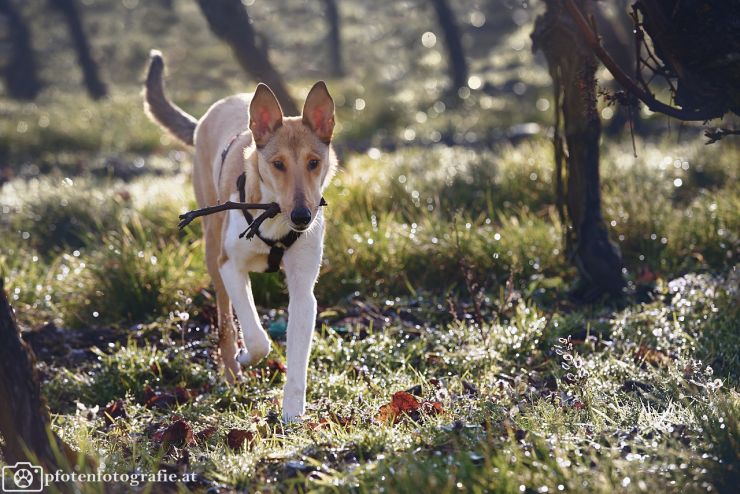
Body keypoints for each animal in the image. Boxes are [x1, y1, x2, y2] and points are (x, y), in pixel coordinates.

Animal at [142, 50, 338, 420]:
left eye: (313, 162)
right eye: (277, 164)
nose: (302, 216)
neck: (274, 219)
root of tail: (221, 103)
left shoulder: (304, 291)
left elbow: (298, 358)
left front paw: (292, 415)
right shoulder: (229, 265)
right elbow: (257, 337)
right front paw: (246, 356)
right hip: (211, 252)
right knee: (226, 323)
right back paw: (233, 372)